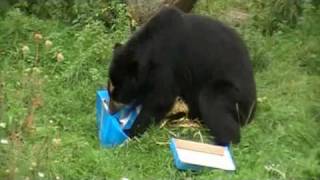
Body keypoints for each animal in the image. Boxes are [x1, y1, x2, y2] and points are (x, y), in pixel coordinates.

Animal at [109, 7, 256, 144]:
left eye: (118, 95)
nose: (110, 110)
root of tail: (253, 109)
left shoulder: (167, 64)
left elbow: (161, 99)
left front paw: (129, 132)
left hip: (234, 96)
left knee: (213, 100)